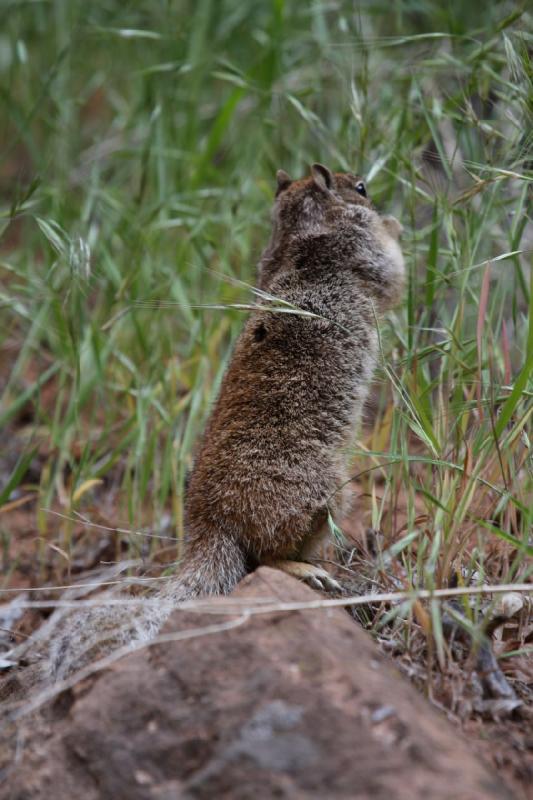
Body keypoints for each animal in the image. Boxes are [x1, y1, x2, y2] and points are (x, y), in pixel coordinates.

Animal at [10, 162, 404, 680]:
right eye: (359, 186)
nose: (372, 192)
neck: (297, 236)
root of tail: (210, 527)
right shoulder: (364, 255)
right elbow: (393, 271)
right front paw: (394, 224)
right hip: (328, 495)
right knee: (266, 558)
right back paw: (307, 570)